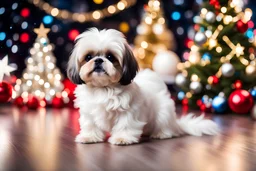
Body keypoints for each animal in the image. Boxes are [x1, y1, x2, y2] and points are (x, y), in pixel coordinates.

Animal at [67, 28, 219, 146]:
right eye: (88, 57)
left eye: (110, 57)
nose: (98, 60)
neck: (103, 88)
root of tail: (175, 123)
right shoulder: (88, 113)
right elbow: (90, 125)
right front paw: (89, 137)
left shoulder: (128, 112)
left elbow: (125, 125)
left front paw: (122, 138)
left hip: (163, 114)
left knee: (166, 127)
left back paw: (161, 134)